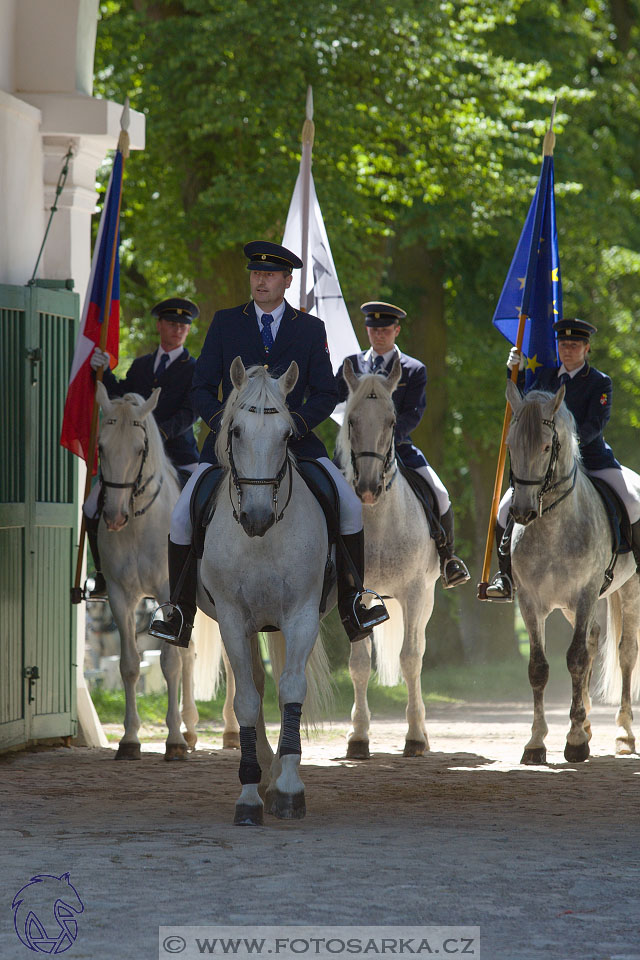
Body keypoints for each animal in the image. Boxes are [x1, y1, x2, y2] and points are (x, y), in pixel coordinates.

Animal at [94, 382, 226, 756]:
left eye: (140, 449)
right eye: (101, 447)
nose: (115, 516)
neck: (139, 524)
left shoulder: (169, 593)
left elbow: (169, 663)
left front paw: (173, 741)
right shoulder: (120, 596)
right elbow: (129, 665)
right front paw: (129, 739)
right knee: (190, 654)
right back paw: (192, 727)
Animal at [196, 360, 332, 824]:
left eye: (288, 435)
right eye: (236, 430)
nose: (256, 517)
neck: (261, 540)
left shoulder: (302, 614)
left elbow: (290, 689)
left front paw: (288, 788)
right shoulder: (233, 618)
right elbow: (245, 701)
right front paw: (249, 795)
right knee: (253, 685)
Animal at [336, 358, 440, 756]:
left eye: (392, 421)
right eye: (351, 420)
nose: (367, 488)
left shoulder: (413, 592)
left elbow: (410, 659)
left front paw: (414, 737)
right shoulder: (355, 596)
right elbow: (359, 663)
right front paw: (358, 737)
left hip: (426, 598)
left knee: (419, 649)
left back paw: (422, 731)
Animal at [504, 382, 640, 764]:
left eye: (547, 446)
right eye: (511, 444)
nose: (522, 512)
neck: (551, 526)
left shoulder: (584, 595)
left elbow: (576, 660)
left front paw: (576, 741)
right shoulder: (530, 602)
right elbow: (539, 667)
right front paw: (536, 742)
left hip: (628, 592)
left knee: (625, 652)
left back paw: (623, 734)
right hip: (569, 607)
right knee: (593, 638)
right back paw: (588, 721)